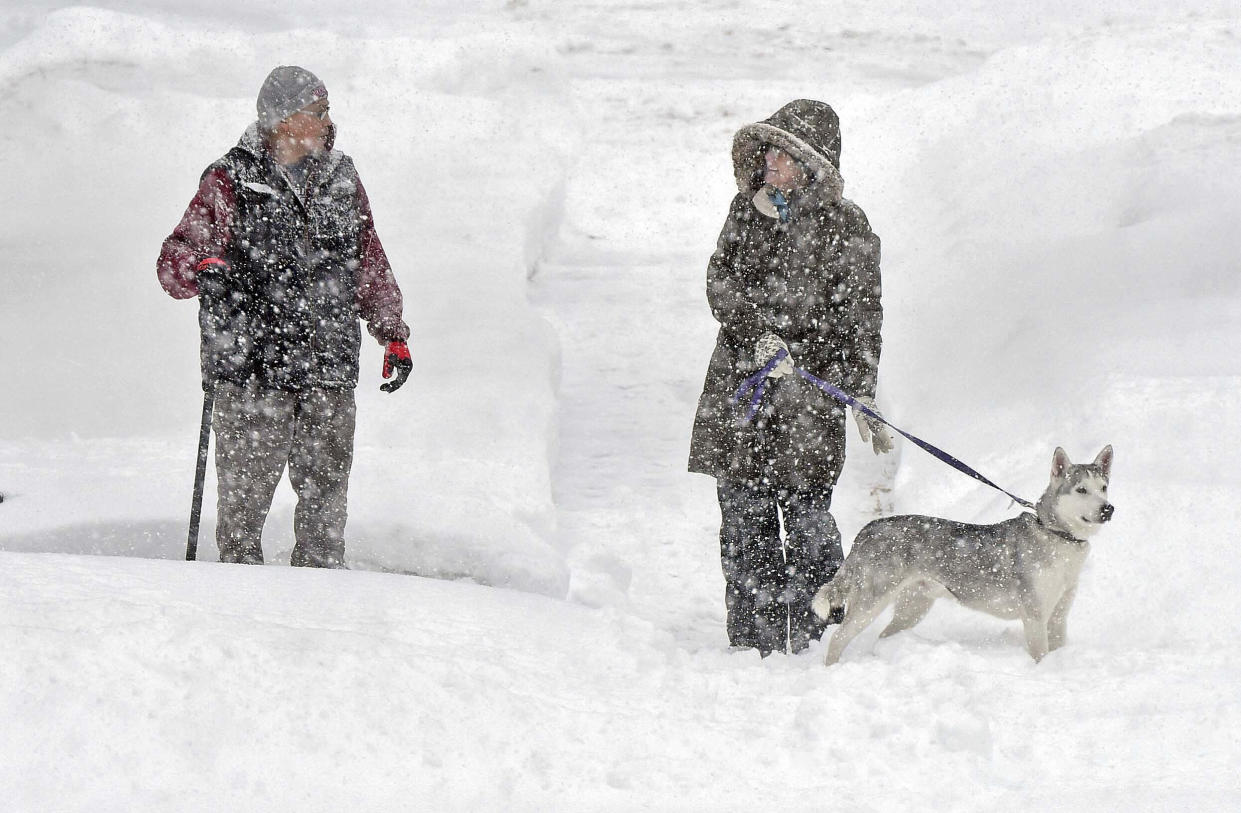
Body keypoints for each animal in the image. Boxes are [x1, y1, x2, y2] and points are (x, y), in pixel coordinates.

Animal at [814, 444, 1116, 670]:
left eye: (1103, 487)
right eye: (1081, 490)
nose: (1108, 509)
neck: (1058, 536)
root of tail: (868, 529)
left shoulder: (1058, 617)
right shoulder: (1035, 617)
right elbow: (1040, 656)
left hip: (914, 605)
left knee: (883, 636)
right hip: (871, 602)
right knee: (838, 637)